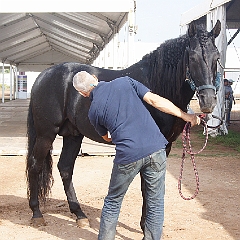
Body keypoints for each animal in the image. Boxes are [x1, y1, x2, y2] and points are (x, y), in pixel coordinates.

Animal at [26, 20, 221, 229]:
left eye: (216, 57)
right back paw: (36, 213)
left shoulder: (166, 146)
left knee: (65, 168)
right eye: (192, 58)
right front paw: (145, 226)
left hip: (73, 135)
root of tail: (44, 75)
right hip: (46, 134)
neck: (158, 84)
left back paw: (79, 214)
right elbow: (146, 184)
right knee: (35, 164)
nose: (208, 101)